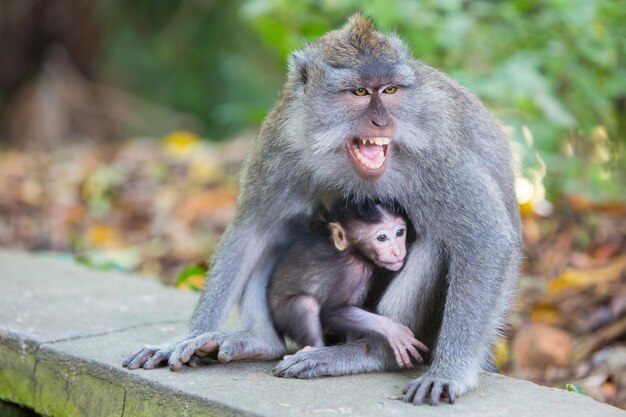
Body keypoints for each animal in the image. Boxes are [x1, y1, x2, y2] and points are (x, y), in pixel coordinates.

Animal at [266, 198, 426, 368]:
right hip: (281, 313)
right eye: (382, 238)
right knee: (305, 303)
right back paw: (313, 350)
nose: (397, 251)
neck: (355, 253)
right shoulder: (353, 272)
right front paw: (392, 329)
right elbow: (333, 310)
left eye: (399, 233)